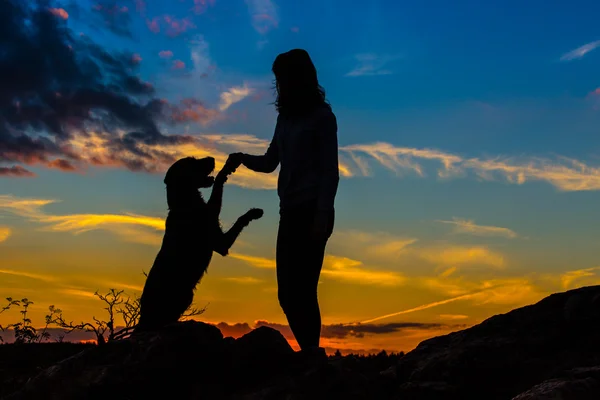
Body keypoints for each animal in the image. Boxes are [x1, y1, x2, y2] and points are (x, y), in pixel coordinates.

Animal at [136, 155, 262, 332]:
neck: (185, 203)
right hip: (183, 295)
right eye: (192, 161)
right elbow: (235, 214)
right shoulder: (220, 243)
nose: (212, 157)